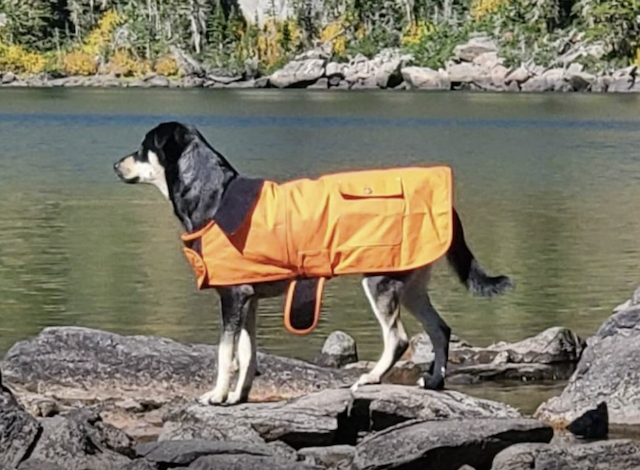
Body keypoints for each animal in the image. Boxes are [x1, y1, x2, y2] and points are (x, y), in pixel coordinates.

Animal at [114, 123, 516, 406]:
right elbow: (247, 352)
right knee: (440, 330)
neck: (214, 195)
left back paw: (371, 378)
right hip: (411, 283)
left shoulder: (231, 296)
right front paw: (238, 396)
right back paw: (434, 381)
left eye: (143, 147)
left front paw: (216, 395)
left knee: (398, 338)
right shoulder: (249, 299)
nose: (116, 164)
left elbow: (225, 353)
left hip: (380, 280)